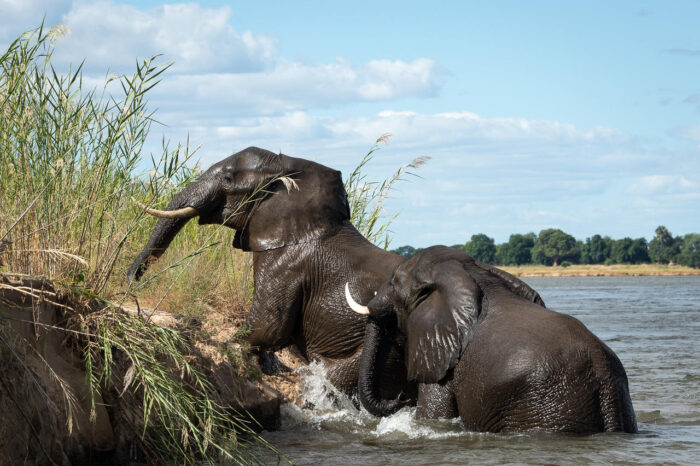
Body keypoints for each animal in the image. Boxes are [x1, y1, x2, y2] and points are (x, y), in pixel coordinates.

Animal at [128, 147, 410, 398]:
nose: (133, 283)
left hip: (389, 350)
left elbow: (268, 326)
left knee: (338, 376)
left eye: (228, 179)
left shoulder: (285, 262)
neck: (286, 169)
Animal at [346, 248, 640, 434]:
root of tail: (603, 376)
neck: (475, 274)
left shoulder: (445, 366)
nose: (401, 398)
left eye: (395, 281)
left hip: (548, 405)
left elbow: (433, 414)